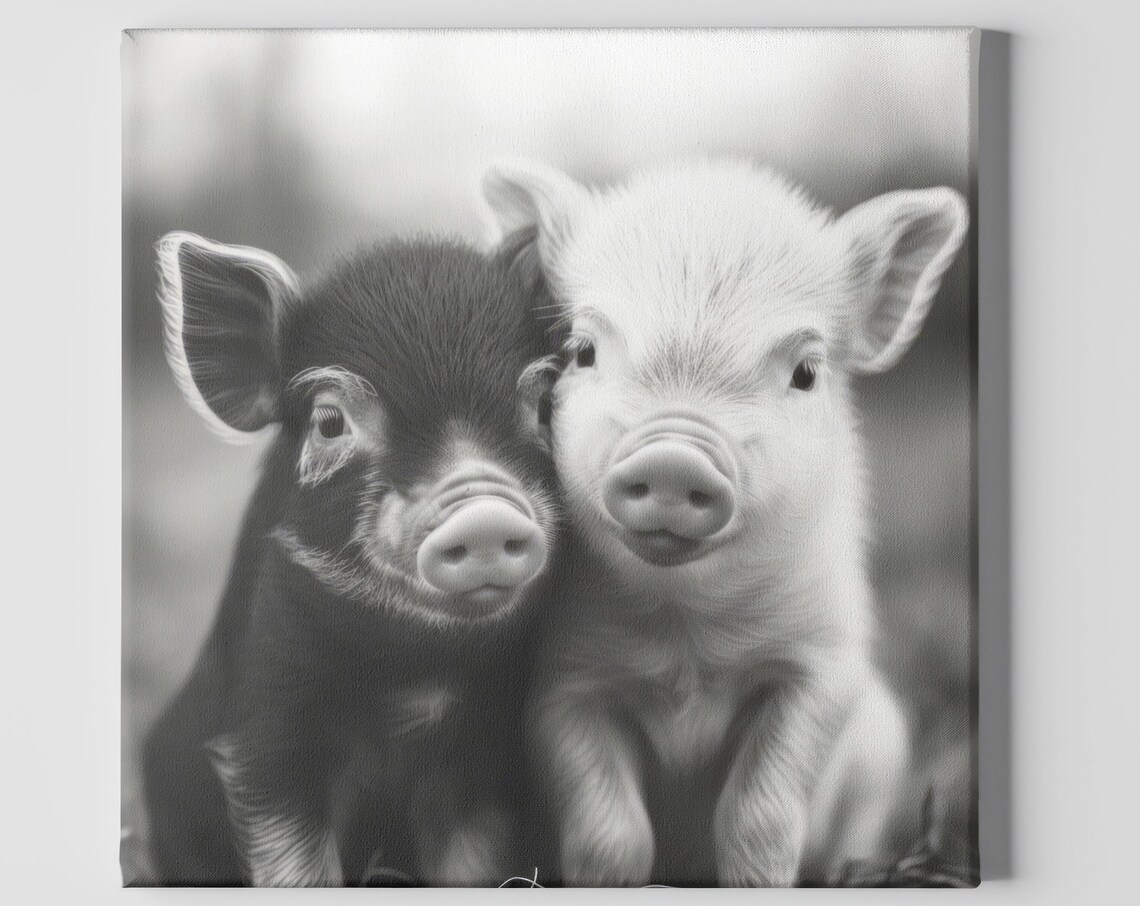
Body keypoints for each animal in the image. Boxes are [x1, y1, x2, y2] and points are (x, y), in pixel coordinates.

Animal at [139, 229, 562, 886]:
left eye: (543, 406)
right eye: (330, 421)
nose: (483, 510)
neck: (410, 668)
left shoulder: (484, 751)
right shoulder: (267, 725)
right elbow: (295, 860)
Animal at [479, 159, 968, 887]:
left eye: (806, 372)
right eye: (582, 351)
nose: (674, 455)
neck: (687, 635)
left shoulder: (824, 666)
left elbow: (759, 820)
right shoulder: (561, 687)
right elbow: (610, 836)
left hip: (885, 742)